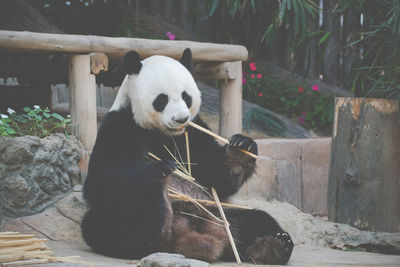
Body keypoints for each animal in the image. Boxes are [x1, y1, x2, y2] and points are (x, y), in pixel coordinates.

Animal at [81, 49, 294, 264]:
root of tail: (195, 237)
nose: (181, 119)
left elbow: (218, 176)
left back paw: (274, 247)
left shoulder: (194, 132)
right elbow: (101, 182)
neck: (164, 134)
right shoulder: (118, 127)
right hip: (121, 219)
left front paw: (241, 149)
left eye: (186, 96)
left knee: (259, 221)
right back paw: (157, 220)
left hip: (221, 215)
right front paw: (160, 168)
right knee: (112, 226)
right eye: (162, 99)